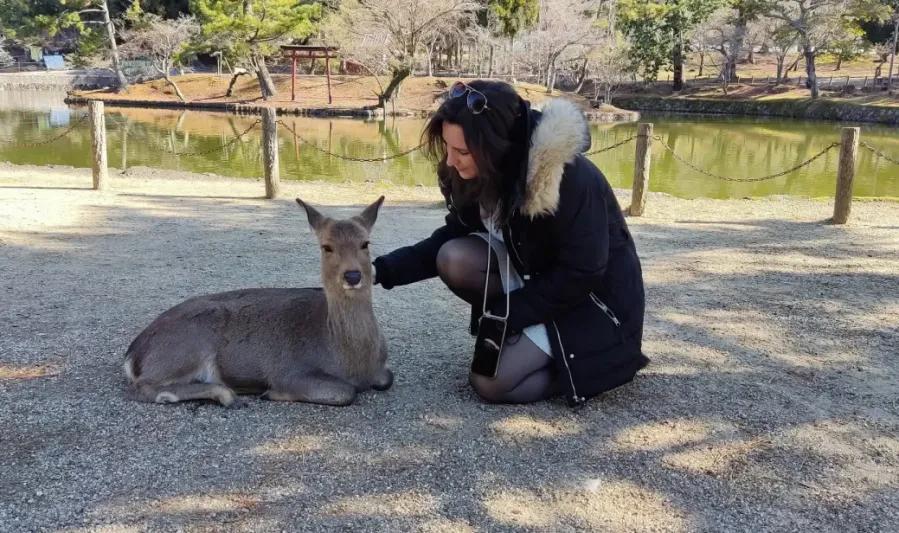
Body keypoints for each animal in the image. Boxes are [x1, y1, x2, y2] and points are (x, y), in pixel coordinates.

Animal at [122, 196, 392, 408]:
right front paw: (271, 393)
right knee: (142, 387)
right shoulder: (290, 371)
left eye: (365, 243)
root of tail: (133, 354)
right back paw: (226, 394)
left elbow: (387, 377)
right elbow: (345, 391)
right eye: (326, 246)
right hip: (186, 346)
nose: (353, 275)